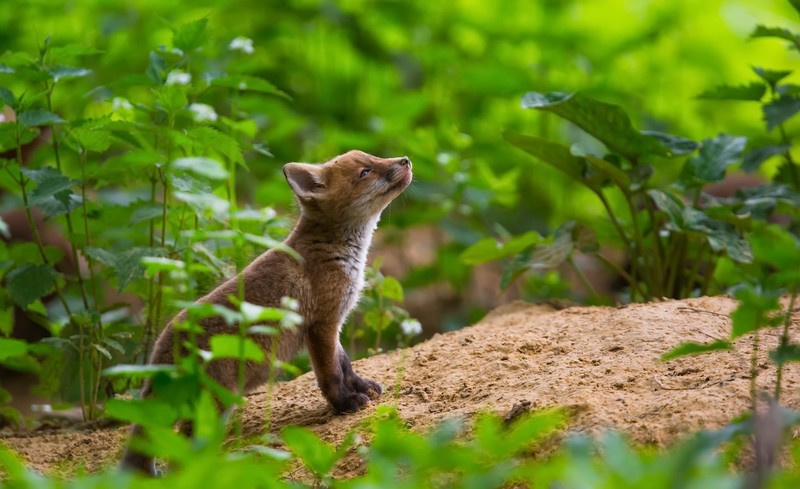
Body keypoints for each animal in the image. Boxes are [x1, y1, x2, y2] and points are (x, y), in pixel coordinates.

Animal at [120, 150, 413, 475]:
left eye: (374, 157)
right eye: (365, 172)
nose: (405, 160)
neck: (335, 252)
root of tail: (158, 357)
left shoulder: (334, 324)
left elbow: (346, 364)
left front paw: (361, 386)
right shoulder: (321, 326)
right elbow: (331, 375)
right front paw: (344, 404)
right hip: (214, 406)